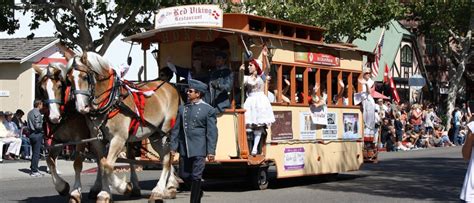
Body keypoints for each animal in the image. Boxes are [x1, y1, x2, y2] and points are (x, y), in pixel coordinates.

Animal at [33, 62, 143, 202]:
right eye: (42, 89)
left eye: (59, 86)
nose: (54, 117)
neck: (67, 111)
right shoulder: (58, 140)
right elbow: (50, 160)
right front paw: (62, 187)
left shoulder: (81, 139)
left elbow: (77, 164)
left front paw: (75, 193)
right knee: (101, 161)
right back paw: (98, 188)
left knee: (130, 158)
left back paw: (134, 187)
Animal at [65, 52, 180, 201]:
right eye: (69, 80)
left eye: (85, 77)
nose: (81, 107)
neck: (112, 101)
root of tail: (170, 86)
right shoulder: (98, 140)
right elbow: (102, 164)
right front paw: (104, 193)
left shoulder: (118, 139)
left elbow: (108, 165)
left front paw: (123, 187)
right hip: (155, 135)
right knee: (166, 158)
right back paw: (167, 188)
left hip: (164, 133)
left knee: (166, 159)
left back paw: (159, 190)